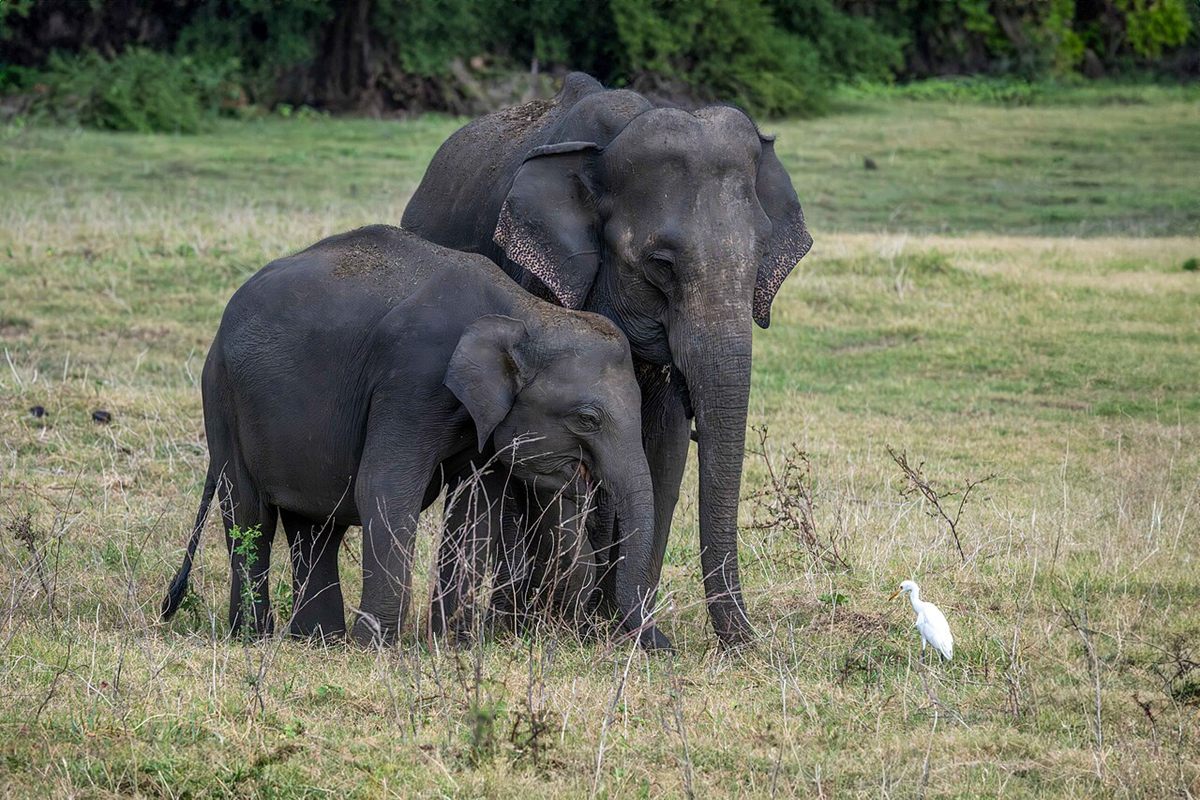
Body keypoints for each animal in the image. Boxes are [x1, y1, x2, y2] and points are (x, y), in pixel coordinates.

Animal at [159, 224, 670, 650]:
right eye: (587, 419)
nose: (663, 647)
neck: (525, 312)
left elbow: (475, 507)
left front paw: (454, 645)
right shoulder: (412, 379)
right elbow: (385, 487)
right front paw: (378, 649)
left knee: (316, 527)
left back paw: (317, 641)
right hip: (222, 397)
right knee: (248, 512)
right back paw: (256, 637)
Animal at [402, 72, 813, 646]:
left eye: (758, 258)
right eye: (661, 264)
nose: (750, 643)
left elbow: (662, 447)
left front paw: (620, 628)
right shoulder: (538, 276)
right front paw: (571, 625)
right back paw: (509, 622)